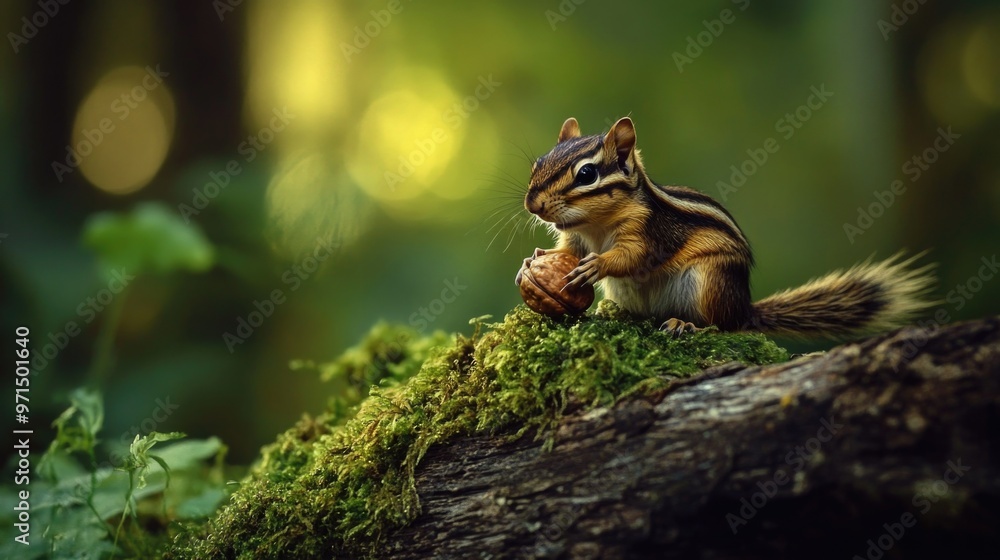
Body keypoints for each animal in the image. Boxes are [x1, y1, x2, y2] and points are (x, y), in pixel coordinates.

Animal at [515, 117, 935, 337]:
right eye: (538, 164)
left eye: (586, 174)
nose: (532, 204)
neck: (595, 225)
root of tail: (744, 307)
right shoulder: (575, 237)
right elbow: (566, 252)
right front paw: (533, 262)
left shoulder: (647, 230)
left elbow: (631, 256)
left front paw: (597, 265)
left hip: (709, 281)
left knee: (720, 326)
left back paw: (686, 324)